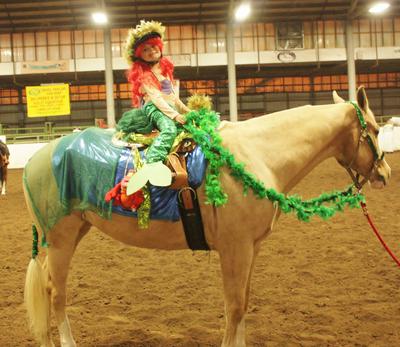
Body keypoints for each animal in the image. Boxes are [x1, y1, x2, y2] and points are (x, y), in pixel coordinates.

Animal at [23, 87, 390, 347]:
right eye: (372, 129)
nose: (384, 173)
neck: (257, 154)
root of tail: (38, 157)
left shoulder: (250, 249)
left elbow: (242, 304)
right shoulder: (234, 249)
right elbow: (234, 306)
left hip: (74, 232)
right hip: (62, 239)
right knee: (55, 293)